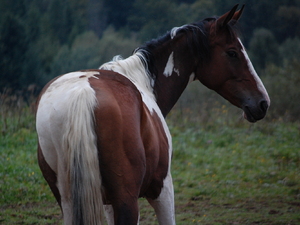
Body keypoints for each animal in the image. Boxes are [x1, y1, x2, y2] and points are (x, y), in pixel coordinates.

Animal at [36, 4, 270, 225]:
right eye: (232, 52)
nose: (263, 102)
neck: (143, 83)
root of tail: (83, 92)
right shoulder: (163, 188)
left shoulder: (107, 204)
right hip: (127, 199)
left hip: (69, 200)